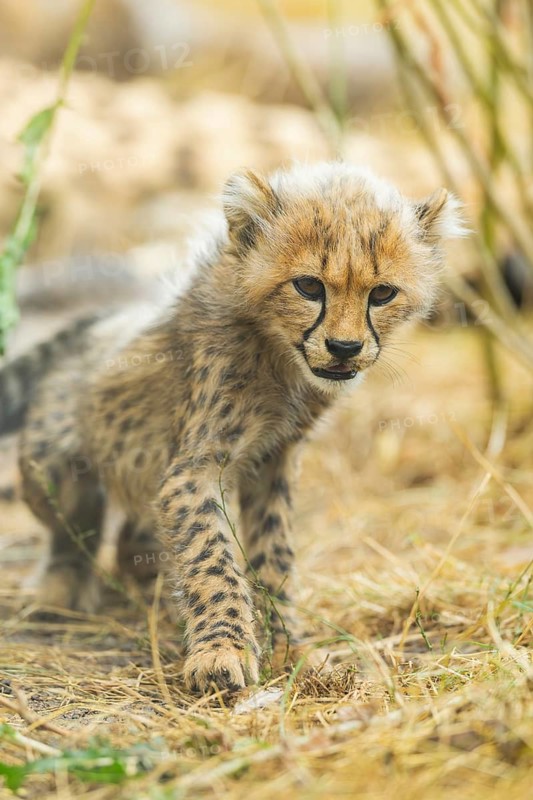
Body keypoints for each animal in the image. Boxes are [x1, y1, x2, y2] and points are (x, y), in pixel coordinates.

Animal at [0, 161, 464, 693]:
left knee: (132, 538)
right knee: (74, 526)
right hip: (53, 465)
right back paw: (63, 589)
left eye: (382, 293)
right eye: (309, 287)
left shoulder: (275, 461)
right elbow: (211, 554)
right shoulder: (195, 468)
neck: (279, 357)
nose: (344, 348)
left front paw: (290, 648)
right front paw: (222, 652)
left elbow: (274, 554)